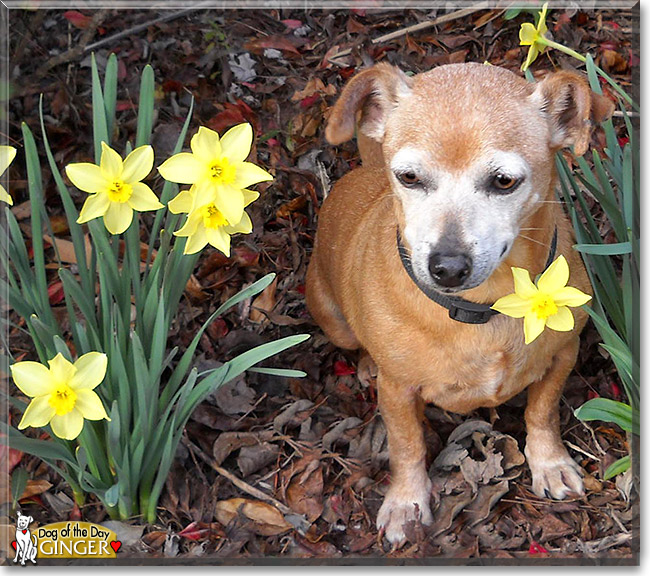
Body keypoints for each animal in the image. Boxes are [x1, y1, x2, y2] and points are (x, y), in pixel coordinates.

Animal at [306, 62, 612, 544]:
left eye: (503, 181)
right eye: (409, 177)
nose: (447, 267)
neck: (489, 307)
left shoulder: (564, 353)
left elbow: (542, 411)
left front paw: (549, 462)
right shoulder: (398, 392)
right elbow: (407, 445)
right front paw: (407, 502)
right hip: (336, 322)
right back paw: (367, 362)